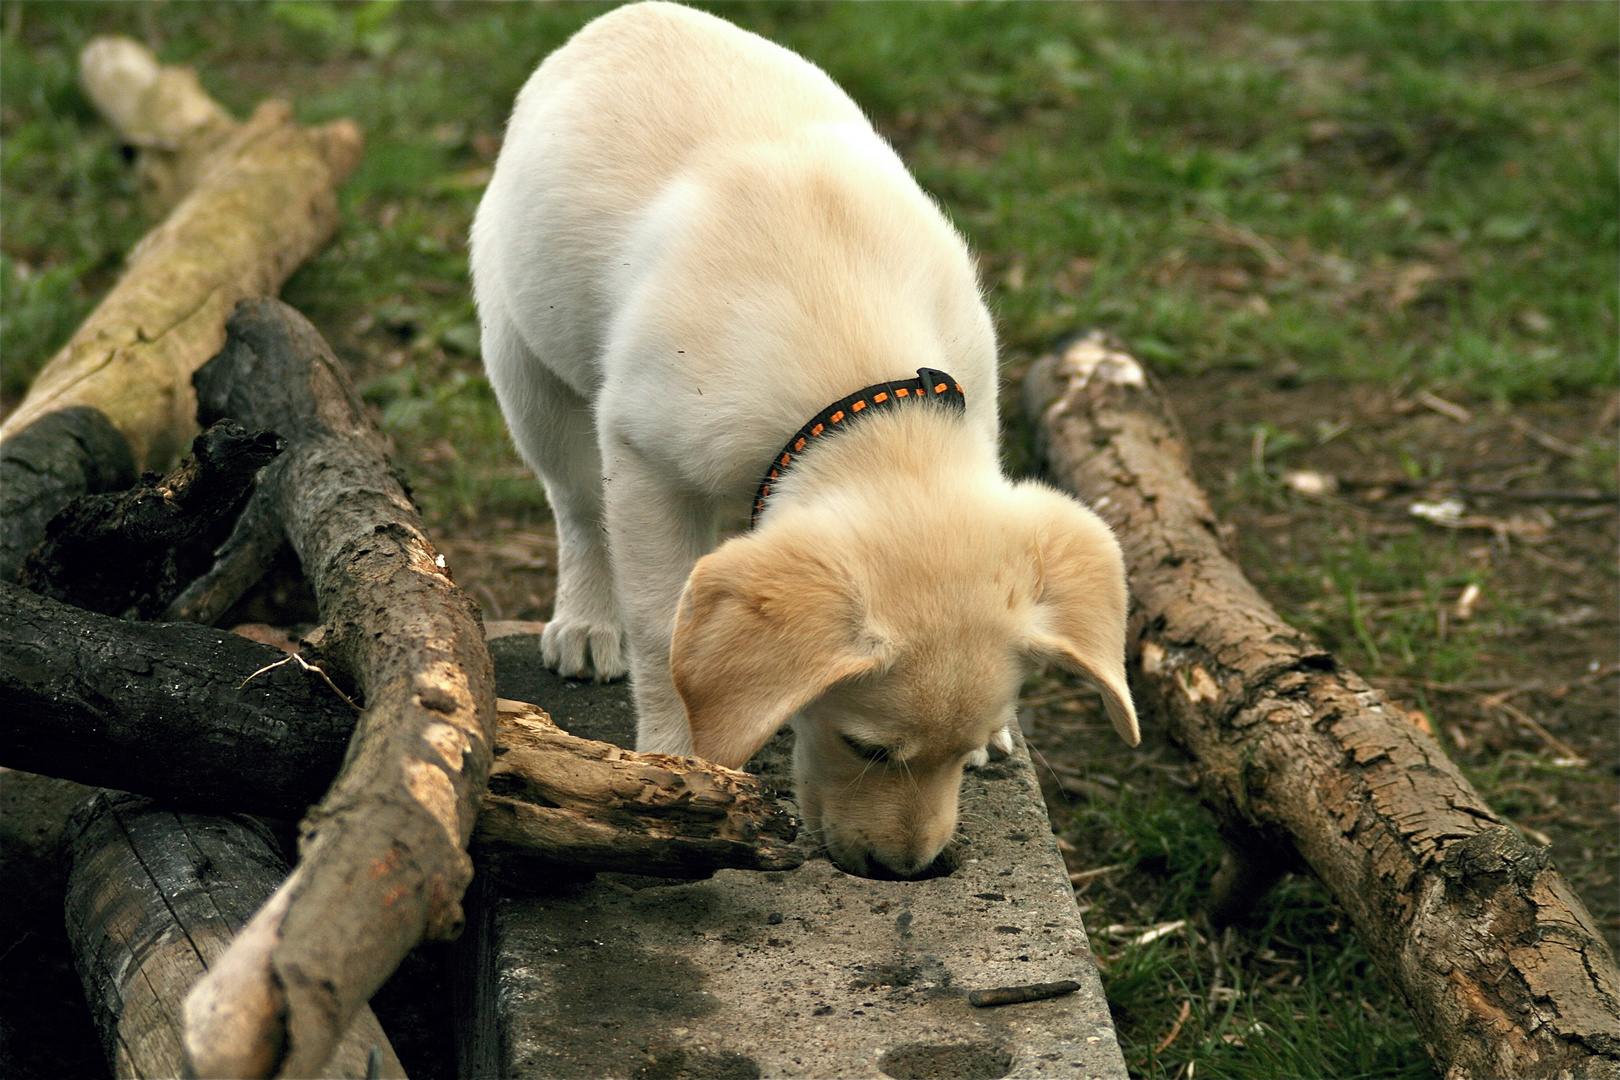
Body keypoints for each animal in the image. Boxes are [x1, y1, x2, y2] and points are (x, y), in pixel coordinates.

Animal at [473, 2, 1140, 880]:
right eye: (868, 747)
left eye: (957, 758)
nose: (909, 871)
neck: (863, 396)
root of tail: (632, 14)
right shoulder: (645, 464)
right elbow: (661, 629)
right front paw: (678, 766)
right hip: (526, 371)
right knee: (578, 510)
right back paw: (588, 623)